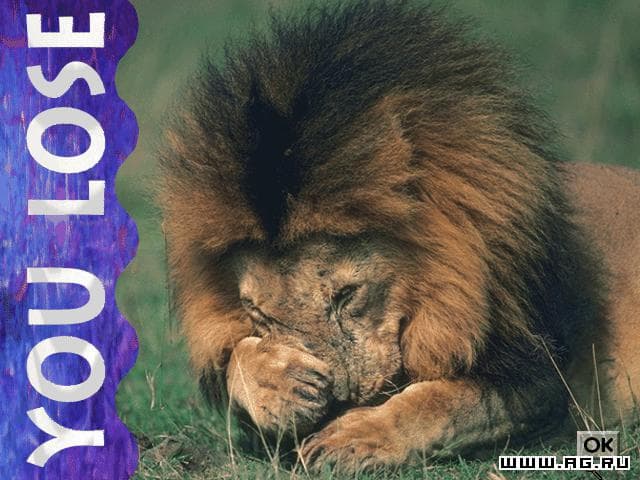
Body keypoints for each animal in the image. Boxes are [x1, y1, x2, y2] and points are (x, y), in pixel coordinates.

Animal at [158, 0, 640, 473]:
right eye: (259, 313)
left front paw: (353, 438)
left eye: (347, 295)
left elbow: (443, 403)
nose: (337, 402)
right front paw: (280, 387)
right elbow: (236, 357)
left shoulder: (542, 377)